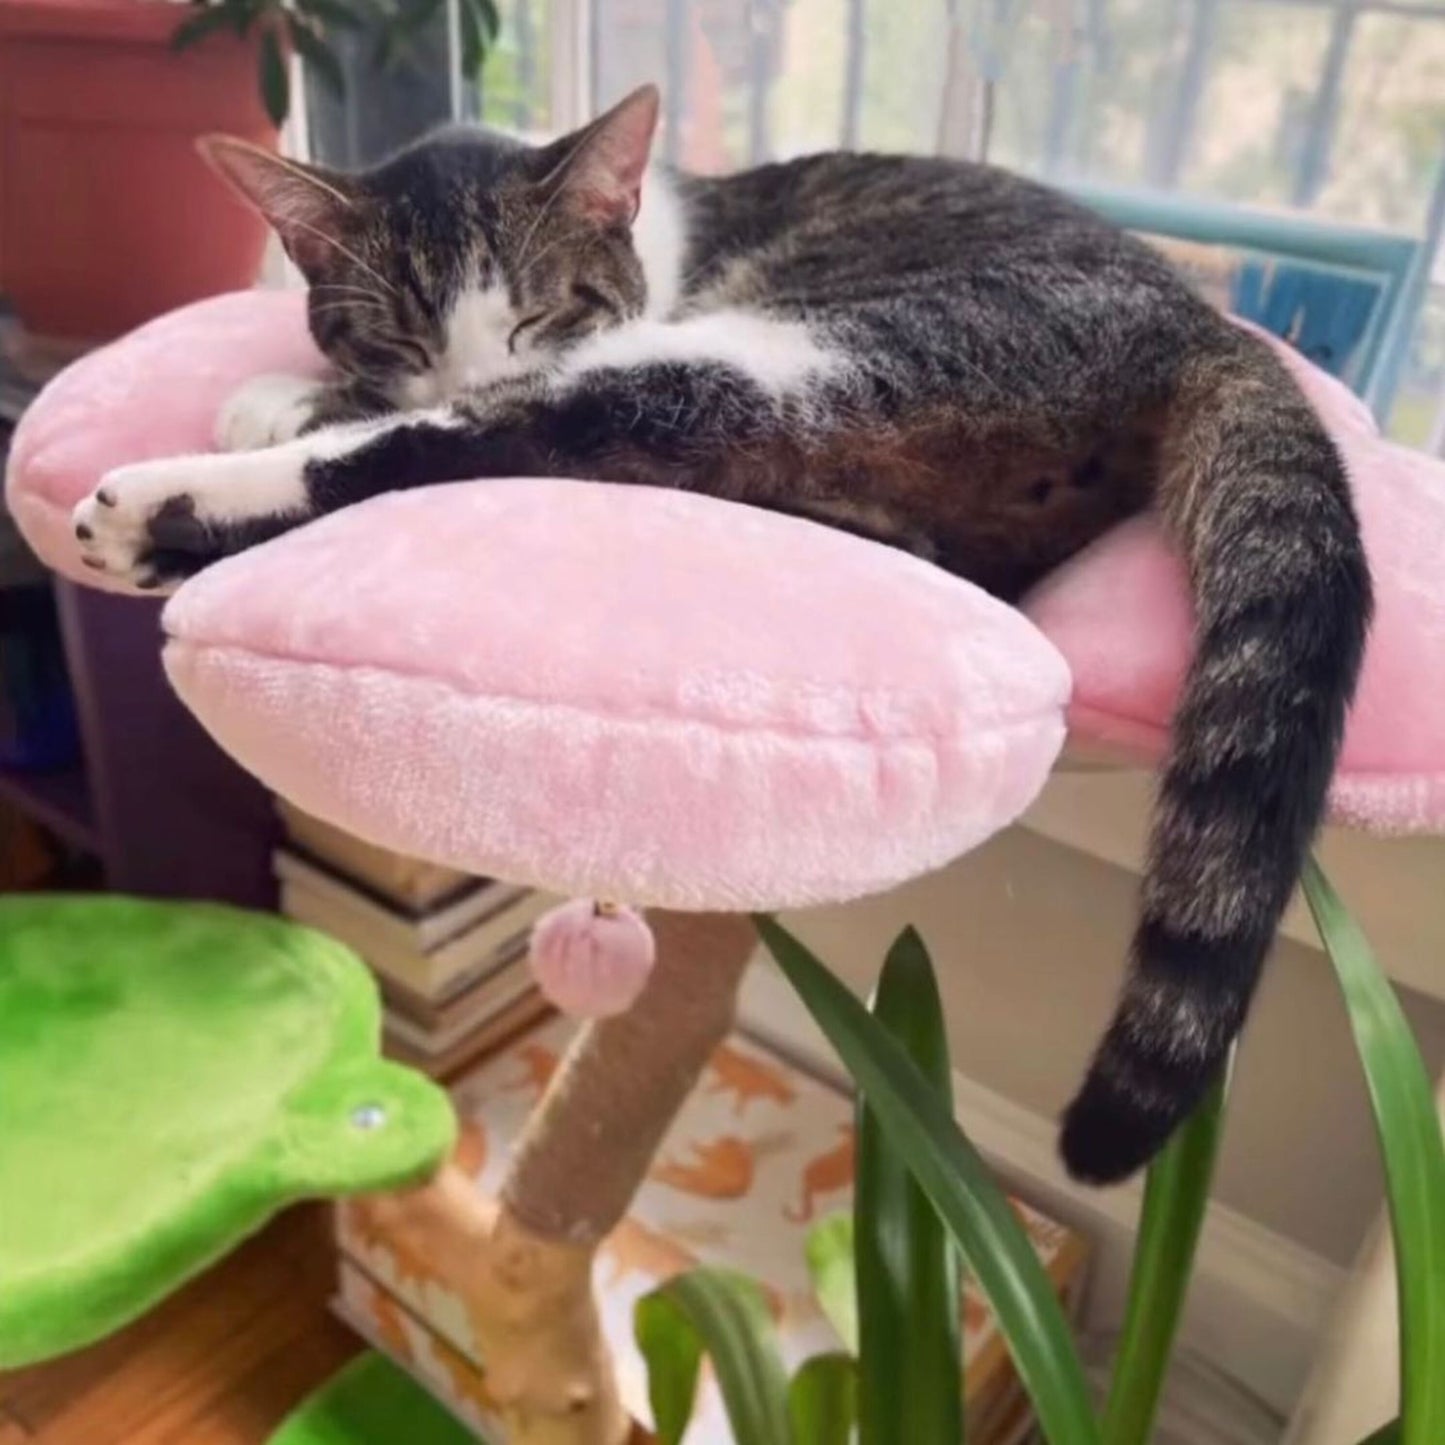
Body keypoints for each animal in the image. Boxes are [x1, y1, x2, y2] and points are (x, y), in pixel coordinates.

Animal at [70, 82, 1375, 1184]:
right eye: (393, 332)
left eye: (538, 311)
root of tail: (1201, 327)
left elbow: (442, 420)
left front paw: (280, 403)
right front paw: (303, 385)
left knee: (511, 440)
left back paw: (155, 513)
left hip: (810, 347)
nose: (461, 369)